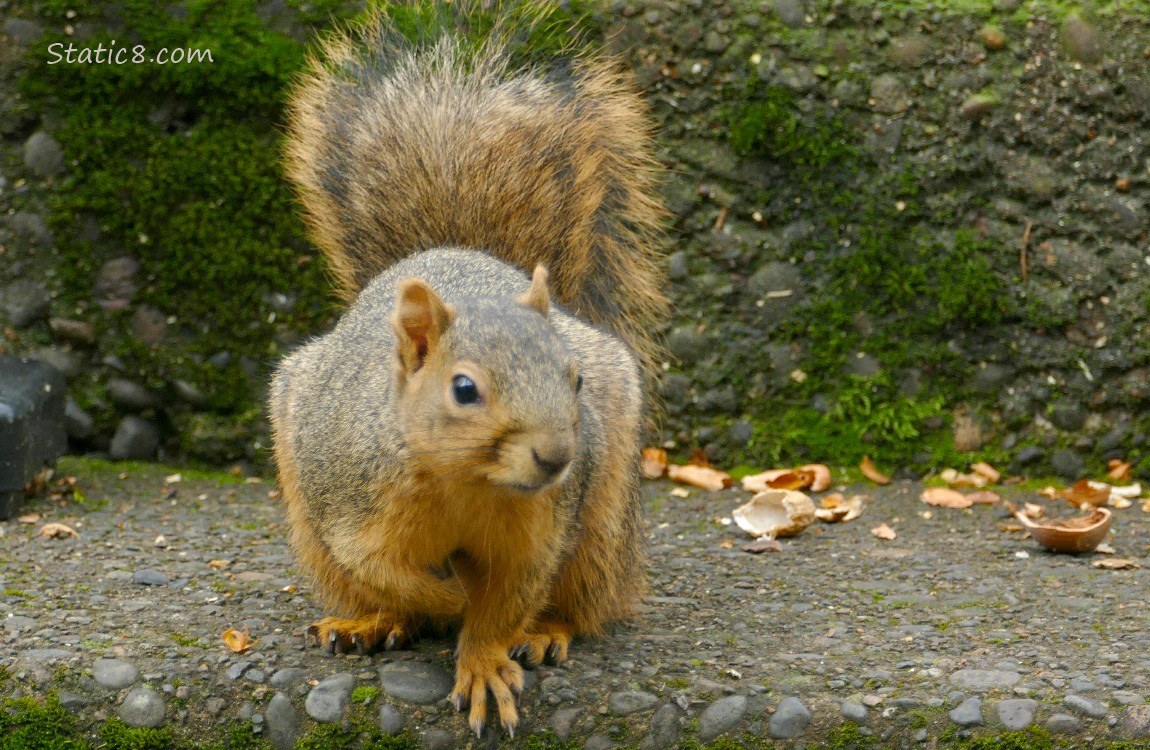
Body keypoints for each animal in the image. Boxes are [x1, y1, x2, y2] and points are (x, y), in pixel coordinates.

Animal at [268, 1, 667, 737]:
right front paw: (444, 601)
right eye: (463, 389)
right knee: (371, 592)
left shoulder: (538, 534)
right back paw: (370, 622)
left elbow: (504, 602)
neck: (467, 484)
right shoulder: (351, 510)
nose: (556, 457)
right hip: (307, 516)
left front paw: (482, 660)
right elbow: (394, 574)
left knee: (584, 597)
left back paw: (547, 631)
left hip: (600, 524)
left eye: (575, 380)